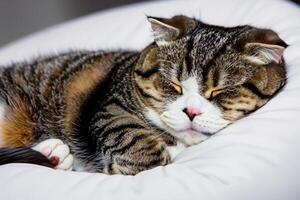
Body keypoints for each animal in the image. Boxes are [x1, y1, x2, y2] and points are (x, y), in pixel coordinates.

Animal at [0, 15, 286, 175]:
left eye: (219, 90)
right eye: (174, 85)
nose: (191, 112)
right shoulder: (109, 106)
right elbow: (132, 137)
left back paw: (54, 155)